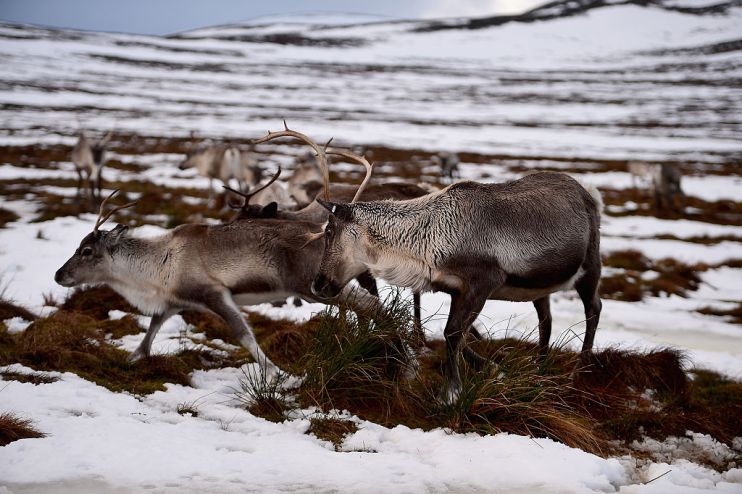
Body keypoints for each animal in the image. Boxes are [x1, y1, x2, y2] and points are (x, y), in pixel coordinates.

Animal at [54, 189, 383, 383]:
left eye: (87, 251)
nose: (59, 275)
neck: (159, 262)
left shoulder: (215, 294)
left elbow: (243, 334)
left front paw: (278, 373)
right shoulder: (175, 301)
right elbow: (152, 328)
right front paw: (133, 358)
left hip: (315, 287)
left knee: (370, 303)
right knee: (368, 305)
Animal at [310, 152, 603, 401]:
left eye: (328, 231)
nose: (317, 284)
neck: (425, 241)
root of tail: (588, 192)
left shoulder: (483, 283)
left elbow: (452, 334)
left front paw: (451, 393)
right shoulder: (454, 289)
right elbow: (456, 334)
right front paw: (491, 368)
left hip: (590, 266)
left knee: (593, 307)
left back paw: (580, 371)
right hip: (538, 285)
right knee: (546, 320)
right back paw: (539, 369)